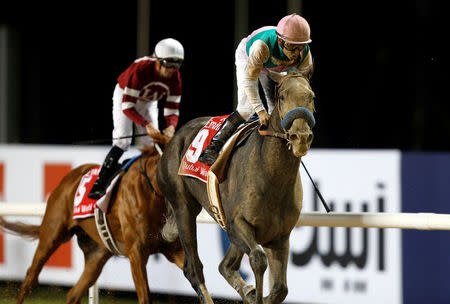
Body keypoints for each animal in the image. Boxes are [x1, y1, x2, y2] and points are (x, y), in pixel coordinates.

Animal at [0, 135, 183, 304]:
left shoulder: (172, 249)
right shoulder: (136, 252)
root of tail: (67, 179)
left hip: (97, 253)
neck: (151, 190)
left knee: (73, 294)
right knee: (30, 279)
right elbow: (145, 297)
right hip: (51, 235)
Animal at [156, 69, 314, 304]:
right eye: (282, 97)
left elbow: (280, 289)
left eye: (311, 97)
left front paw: (255, 294)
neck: (271, 177)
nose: (300, 137)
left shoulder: (279, 236)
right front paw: (256, 295)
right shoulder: (236, 224)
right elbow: (258, 258)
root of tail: (174, 138)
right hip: (183, 207)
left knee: (225, 266)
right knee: (193, 267)